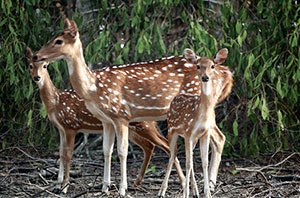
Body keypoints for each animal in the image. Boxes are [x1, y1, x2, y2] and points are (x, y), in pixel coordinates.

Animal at [25, 47, 173, 193]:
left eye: (44, 66)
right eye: (30, 66)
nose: (37, 77)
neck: (56, 102)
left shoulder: (71, 125)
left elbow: (68, 155)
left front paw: (65, 187)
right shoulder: (61, 128)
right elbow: (61, 154)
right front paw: (57, 185)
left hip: (143, 125)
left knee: (165, 145)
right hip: (132, 129)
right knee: (149, 146)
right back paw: (136, 182)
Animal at [158, 48, 233, 198]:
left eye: (212, 66)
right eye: (198, 66)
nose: (205, 77)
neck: (201, 116)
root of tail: (175, 98)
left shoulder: (204, 133)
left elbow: (203, 162)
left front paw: (207, 193)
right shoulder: (188, 133)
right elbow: (188, 163)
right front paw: (185, 194)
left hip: (192, 138)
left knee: (187, 158)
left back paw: (196, 192)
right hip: (172, 130)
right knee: (172, 156)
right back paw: (162, 191)